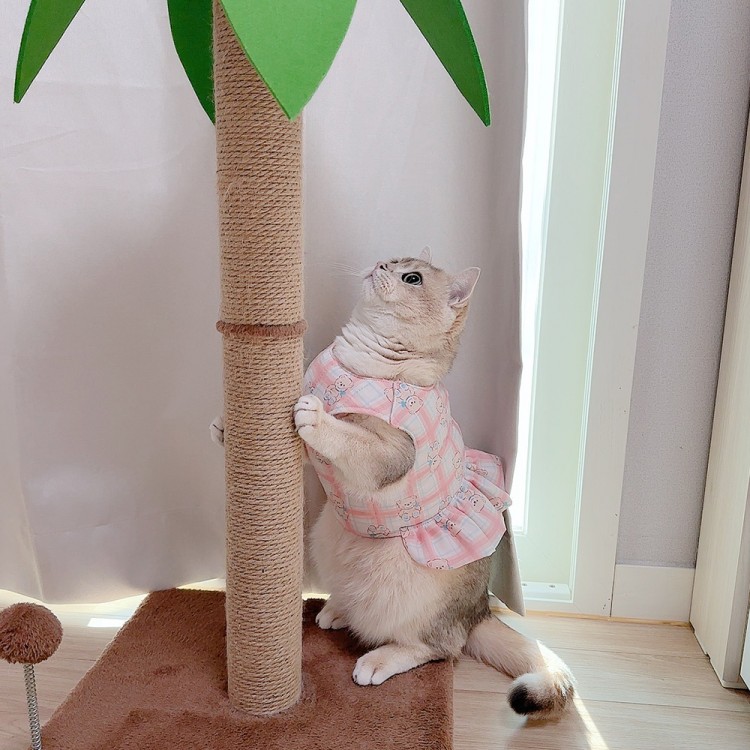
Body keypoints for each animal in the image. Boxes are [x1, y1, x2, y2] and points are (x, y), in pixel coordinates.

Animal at [292, 248, 575, 718]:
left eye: (412, 278)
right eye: (393, 260)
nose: (380, 266)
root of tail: (477, 612)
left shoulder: (390, 451)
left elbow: (345, 435)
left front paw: (316, 417)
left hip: (412, 595)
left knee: (440, 647)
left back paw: (379, 658)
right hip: (326, 536)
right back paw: (339, 609)